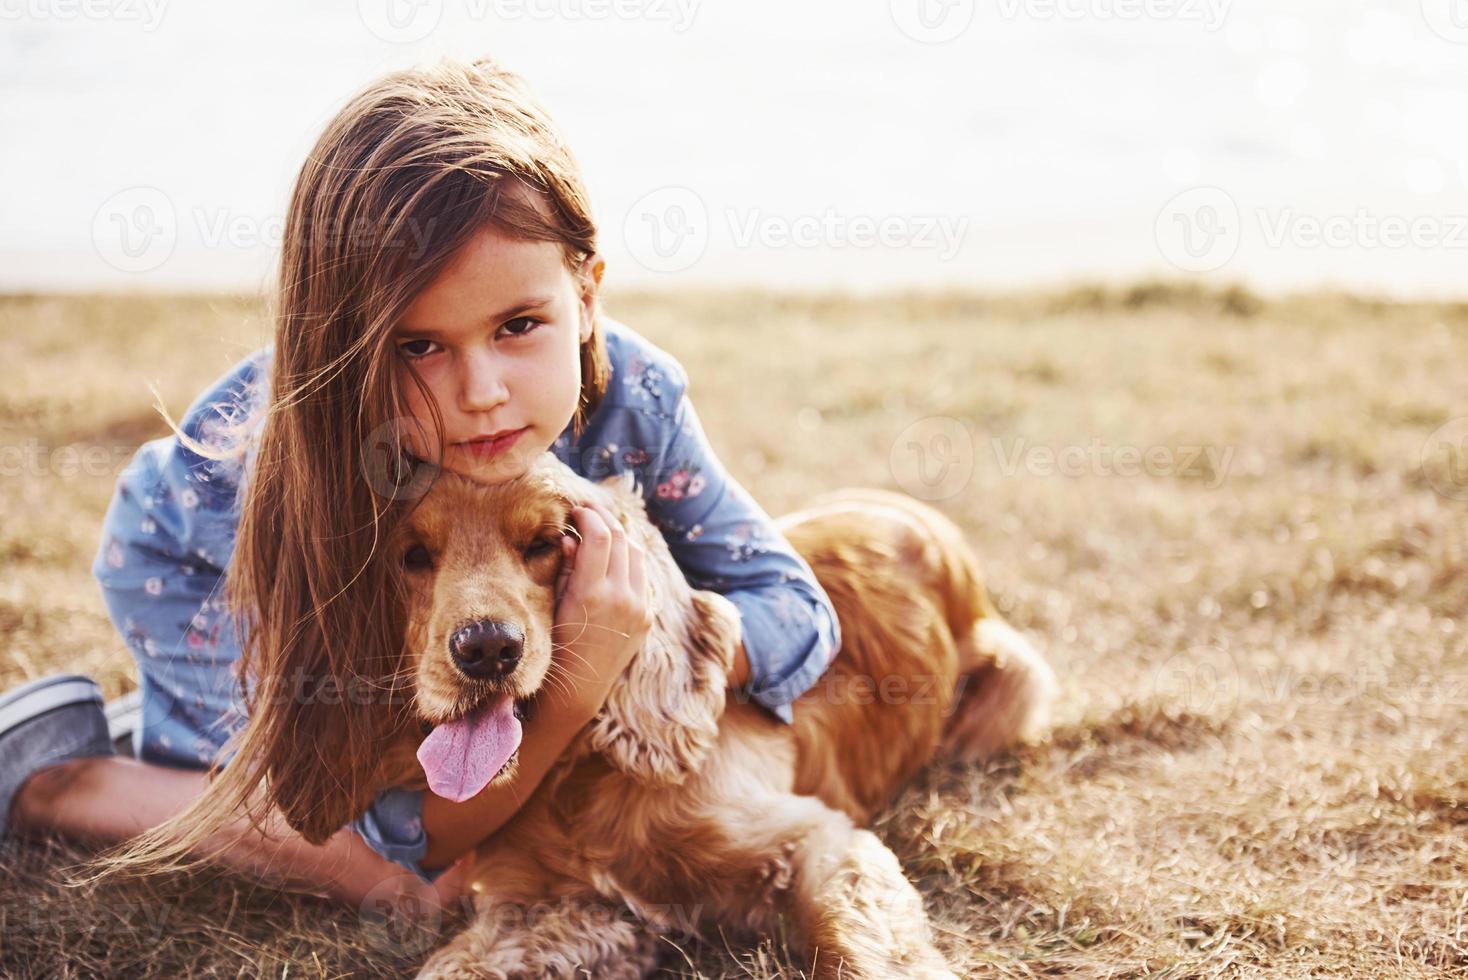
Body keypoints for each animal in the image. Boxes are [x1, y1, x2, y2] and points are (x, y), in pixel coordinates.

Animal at [390, 454, 1056, 974]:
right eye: (414, 556)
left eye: (543, 543)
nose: (486, 649)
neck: (577, 775)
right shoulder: (559, 905)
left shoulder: (819, 843)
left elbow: (854, 947)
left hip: (1017, 680)